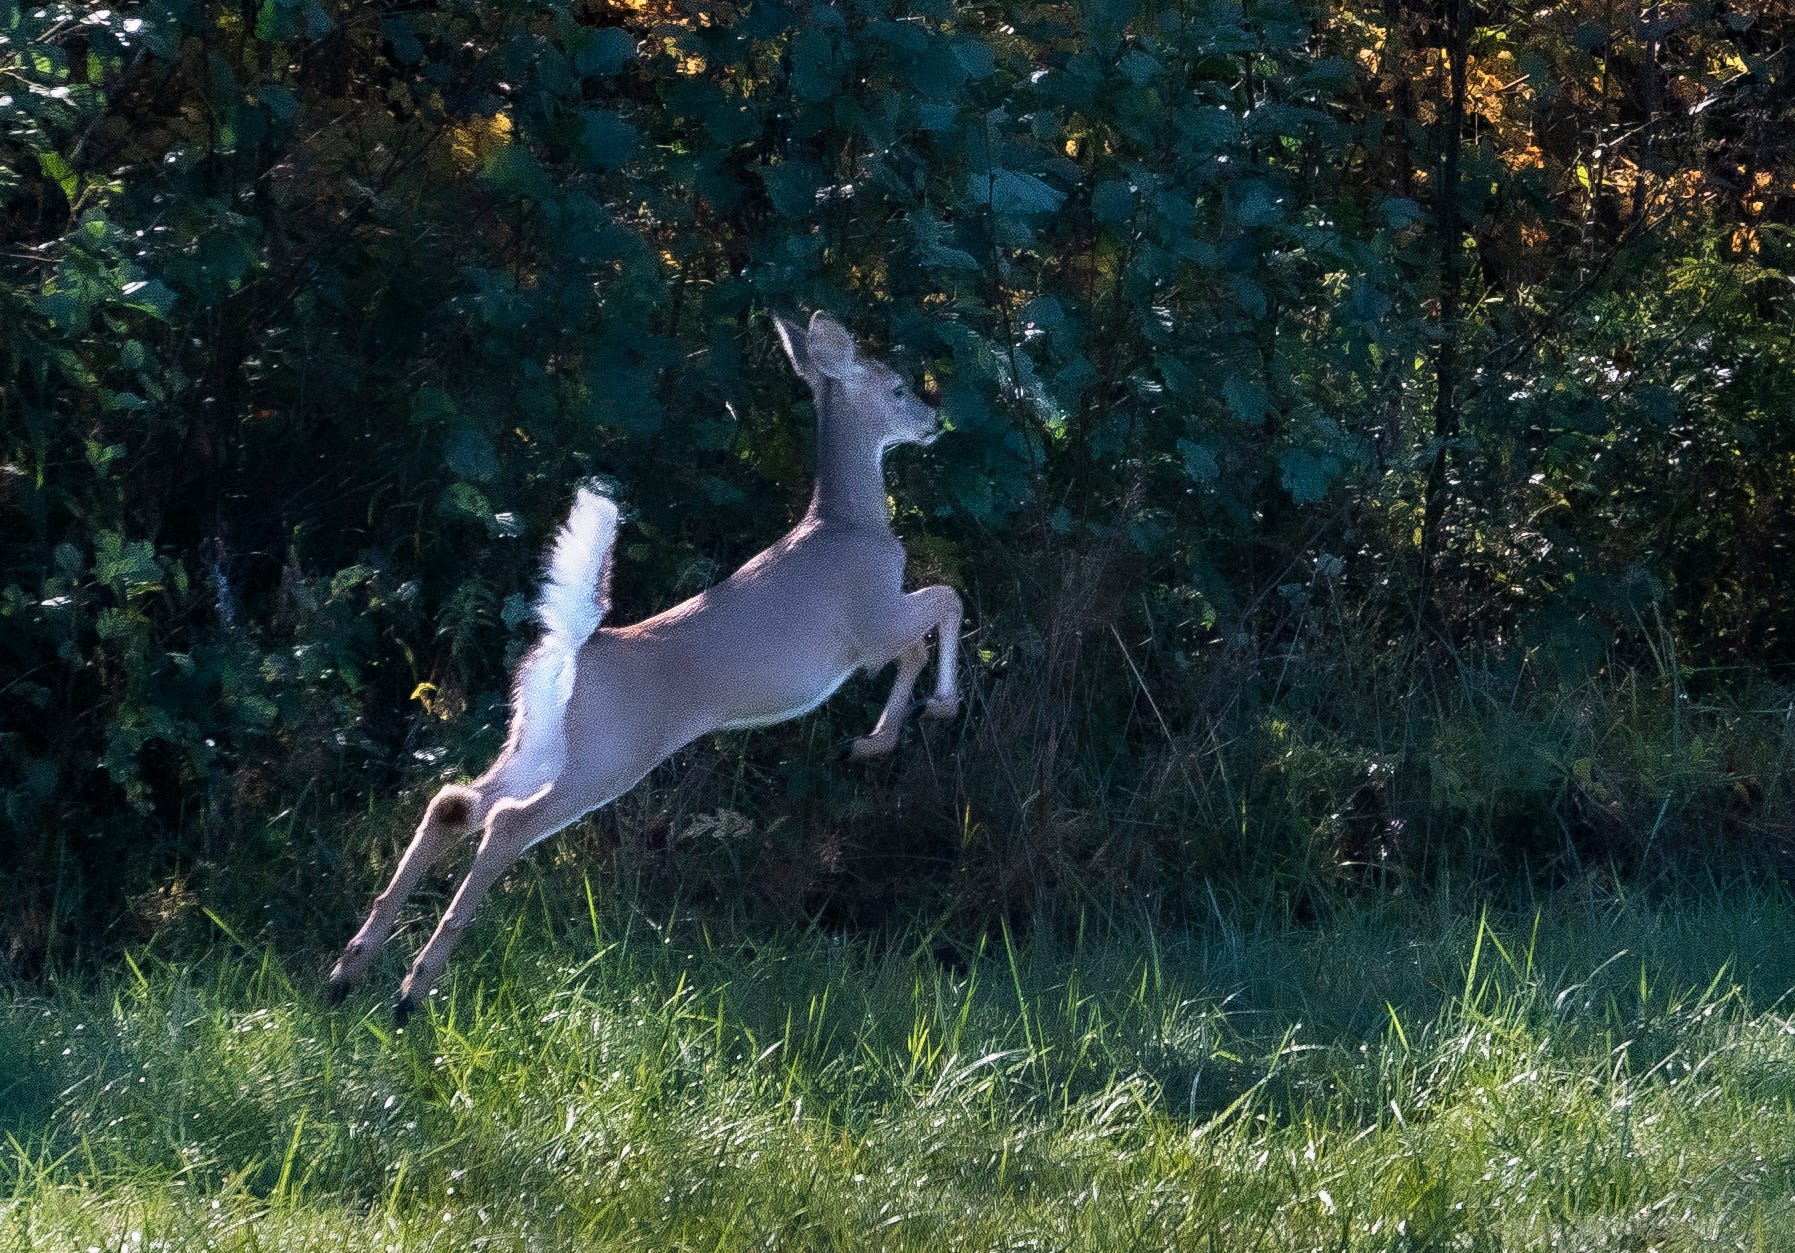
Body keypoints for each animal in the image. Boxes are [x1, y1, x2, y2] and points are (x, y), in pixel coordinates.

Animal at [326, 311, 963, 1022]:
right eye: (900, 387)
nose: (936, 419)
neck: (851, 523)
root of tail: (573, 648)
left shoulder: (875, 627)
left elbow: (933, 620)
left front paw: (888, 731)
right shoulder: (869, 622)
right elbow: (945, 602)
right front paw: (907, 723)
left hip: (537, 742)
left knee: (453, 801)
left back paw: (347, 975)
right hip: (610, 751)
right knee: (505, 823)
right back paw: (413, 987)